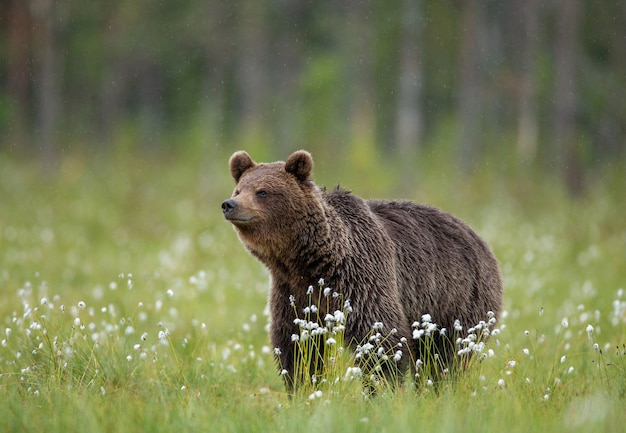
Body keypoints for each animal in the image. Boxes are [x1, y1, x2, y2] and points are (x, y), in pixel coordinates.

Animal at [222, 150, 500, 390]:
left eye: (263, 192)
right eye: (239, 188)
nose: (229, 204)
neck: (308, 261)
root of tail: (480, 239)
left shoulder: (361, 276)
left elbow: (379, 336)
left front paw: (380, 389)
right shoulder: (292, 290)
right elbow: (298, 342)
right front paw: (301, 385)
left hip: (456, 300)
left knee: (447, 355)